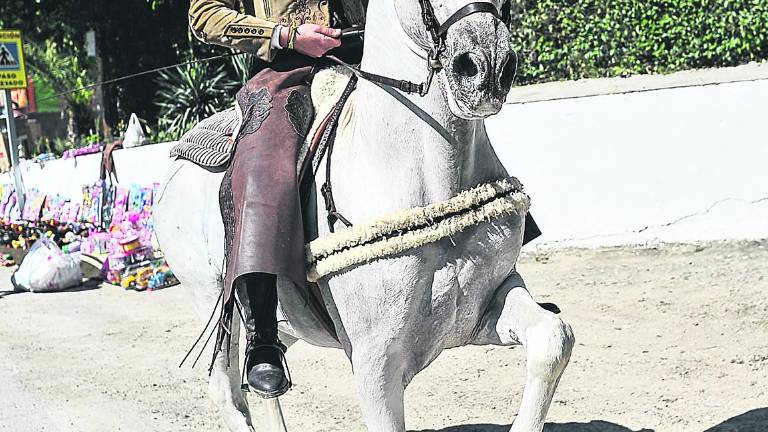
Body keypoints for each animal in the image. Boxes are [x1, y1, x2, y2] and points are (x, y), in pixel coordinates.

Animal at [153, 1, 572, 430]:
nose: (486, 65)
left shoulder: (489, 304)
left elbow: (554, 339)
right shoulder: (376, 363)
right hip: (214, 306)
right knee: (228, 392)